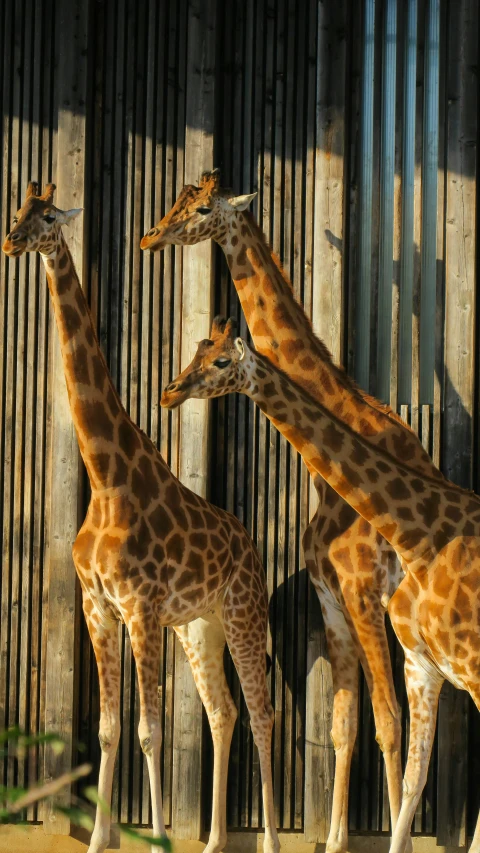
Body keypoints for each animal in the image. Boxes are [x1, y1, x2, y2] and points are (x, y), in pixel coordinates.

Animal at [1, 185, 280, 852]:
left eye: (46, 217)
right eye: (19, 211)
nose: (11, 241)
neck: (106, 478)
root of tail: (250, 543)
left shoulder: (141, 607)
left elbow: (150, 730)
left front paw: (154, 836)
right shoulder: (97, 606)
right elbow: (107, 728)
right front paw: (101, 839)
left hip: (242, 613)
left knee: (262, 713)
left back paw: (271, 840)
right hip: (200, 626)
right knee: (223, 711)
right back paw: (214, 840)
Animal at [142, 170, 446, 848]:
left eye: (201, 208)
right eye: (176, 198)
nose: (149, 237)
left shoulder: (365, 594)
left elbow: (387, 723)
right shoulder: (332, 597)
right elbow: (343, 725)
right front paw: (335, 839)